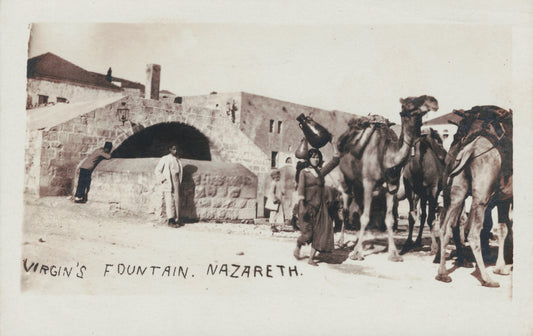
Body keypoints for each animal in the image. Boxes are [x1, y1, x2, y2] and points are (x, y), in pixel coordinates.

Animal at [338, 95, 438, 262]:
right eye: (410, 102)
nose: (433, 101)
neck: (387, 157)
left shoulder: (392, 187)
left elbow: (389, 219)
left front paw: (394, 254)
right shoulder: (369, 183)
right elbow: (366, 217)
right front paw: (357, 253)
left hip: (360, 187)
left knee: (359, 211)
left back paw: (360, 242)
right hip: (346, 182)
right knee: (346, 211)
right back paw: (342, 242)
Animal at [434, 106, 512, 288]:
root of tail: (470, 148)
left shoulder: (503, 198)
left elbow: (503, 228)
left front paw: (501, 268)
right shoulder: (507, 198)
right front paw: (501, 268)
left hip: (457, 190)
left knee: (446, 227)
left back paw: (443, 273)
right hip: (481, 196)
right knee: (473, 232)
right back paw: (487, 278)